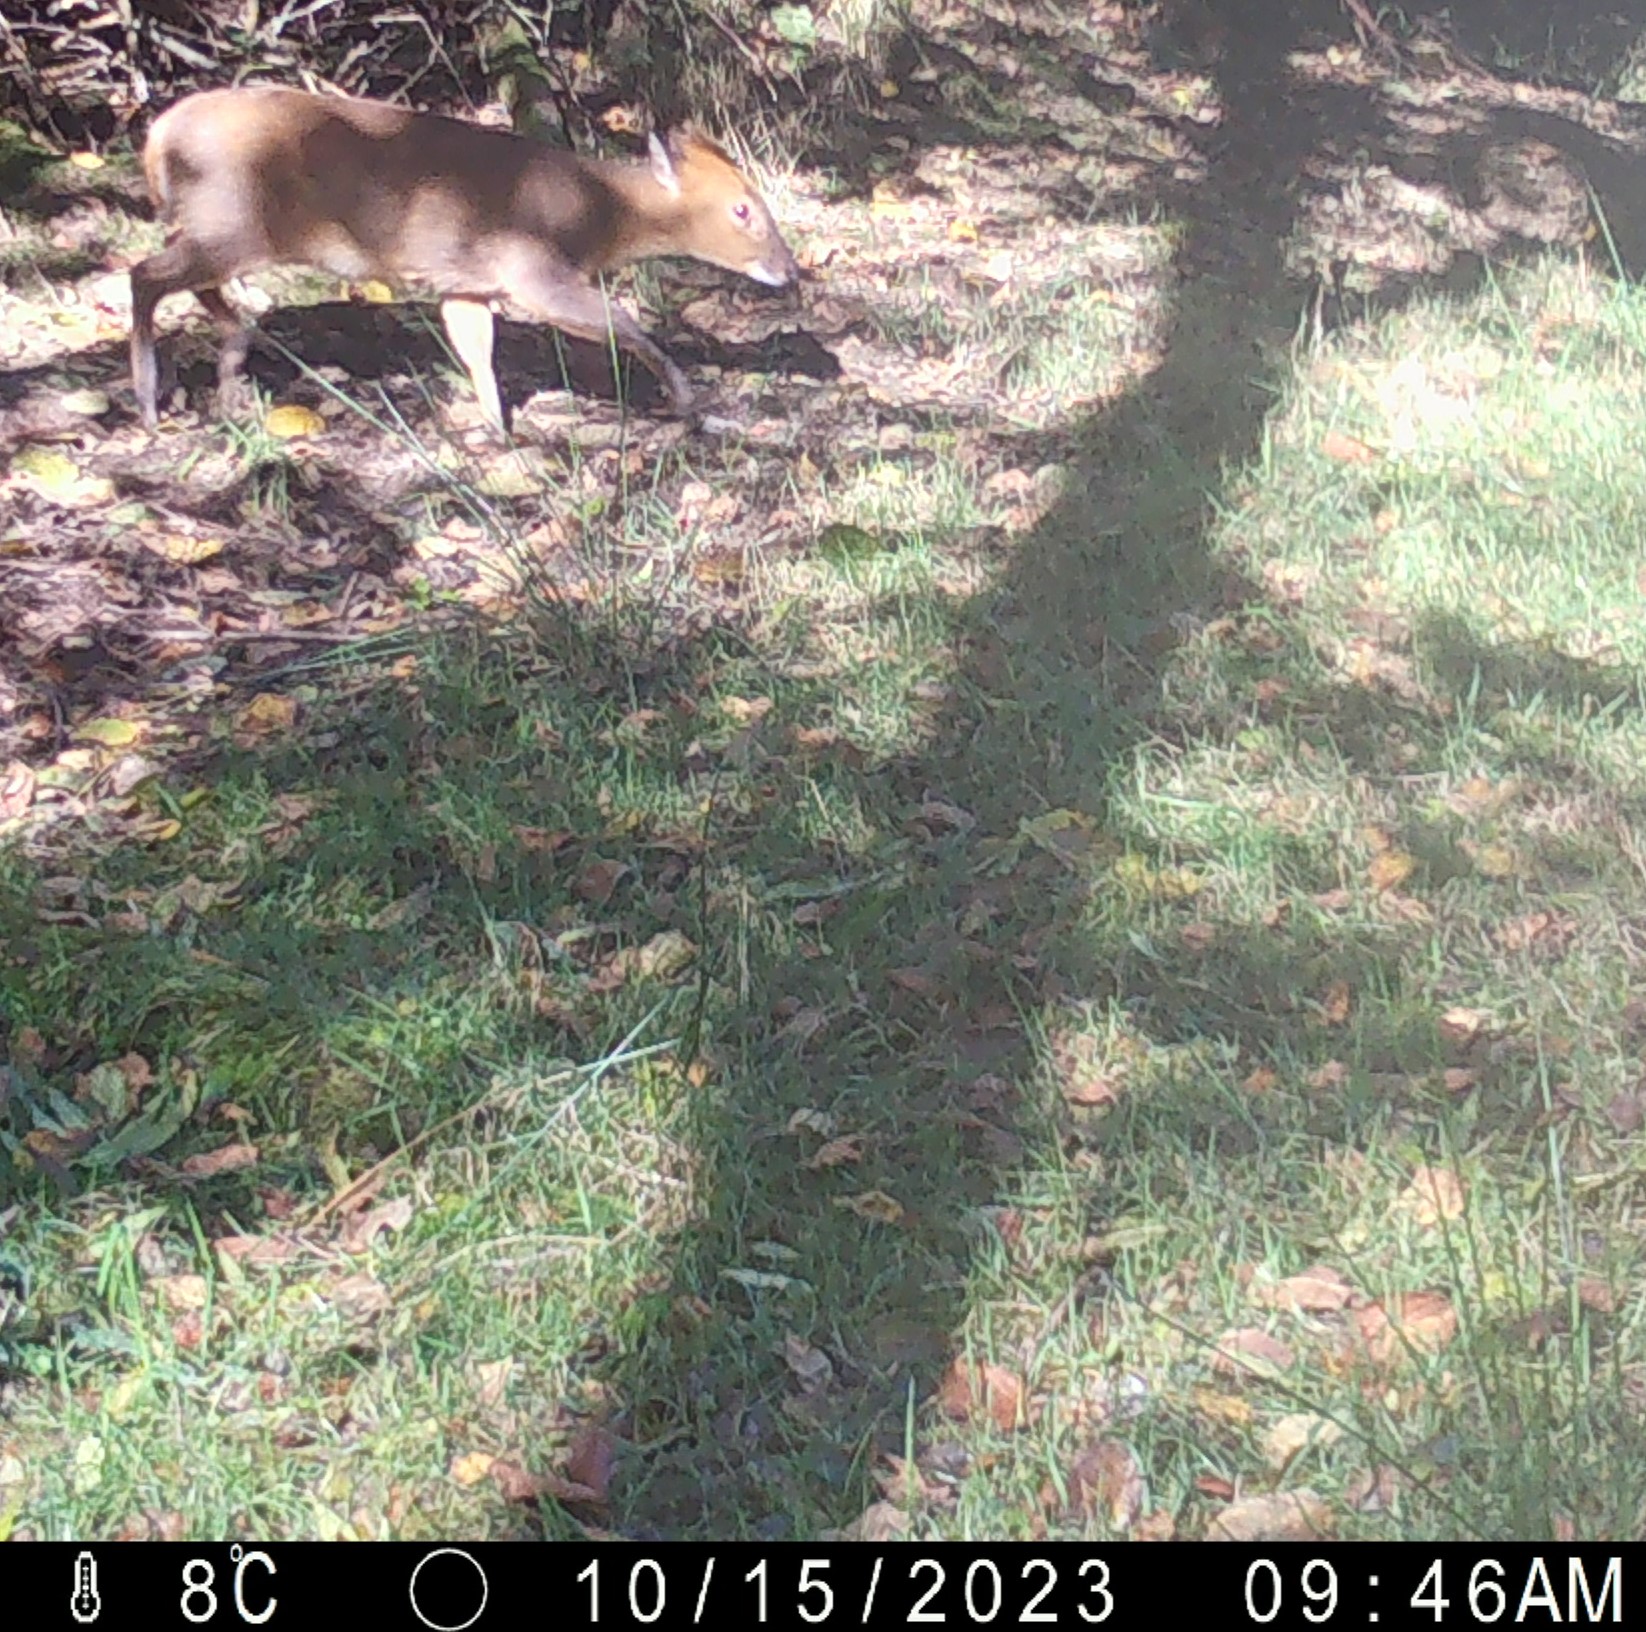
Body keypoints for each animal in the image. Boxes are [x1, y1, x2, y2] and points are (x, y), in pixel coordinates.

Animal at [126, 89, 796, 434]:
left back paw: (231, 364)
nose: (790, 269)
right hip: (238, 219)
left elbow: (476, 351)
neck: (596, 215)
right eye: (742, 209)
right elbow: (624, 324)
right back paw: (148, 399)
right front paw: (689, 402)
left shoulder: (466, 282)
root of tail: (157, 138)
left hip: (221, 224)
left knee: (179, 277)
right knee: (143, 275)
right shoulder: (534, 270)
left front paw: (498, 430)